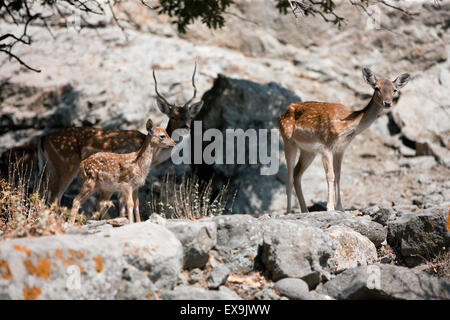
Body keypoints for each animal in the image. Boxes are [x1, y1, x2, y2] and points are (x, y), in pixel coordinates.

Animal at [37, 63, 203, 214]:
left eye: (190, 116)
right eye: (173, 116)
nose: (186, 127)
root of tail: (43, 139)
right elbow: (127, 203)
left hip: (51, 169)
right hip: (66, 165)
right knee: (55, 198)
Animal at [280, 67, 410, 212]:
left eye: (395, 90)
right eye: (376, 88)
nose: (387, 103)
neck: (346, 126)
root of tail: (281, 115)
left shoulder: (341, 149)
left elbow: (338, 175)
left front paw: (340, 207)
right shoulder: (326, 145)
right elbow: (330, 175)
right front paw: (330, 207)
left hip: (308, 151)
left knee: (297, 174)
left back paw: (305, 210)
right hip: (288, 140)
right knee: (289, 176)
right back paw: (289, 211)